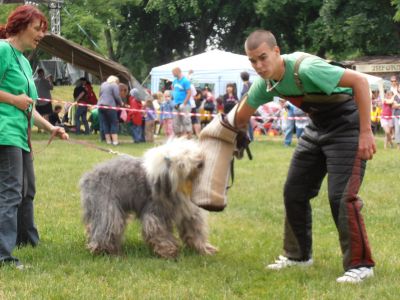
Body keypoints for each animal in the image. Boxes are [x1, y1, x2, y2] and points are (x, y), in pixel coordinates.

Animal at [77, 138, 216, 258]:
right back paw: (105, 251)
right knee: (106, 227)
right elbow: (159, 233)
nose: (200, 163)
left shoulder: (190, 213)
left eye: (188, 151)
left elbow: (195, 230)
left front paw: (204, 249)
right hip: (107, 208)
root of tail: (88, 177)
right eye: (181, 164)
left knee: (93, 226)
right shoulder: (155, 214)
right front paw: (169, 252)